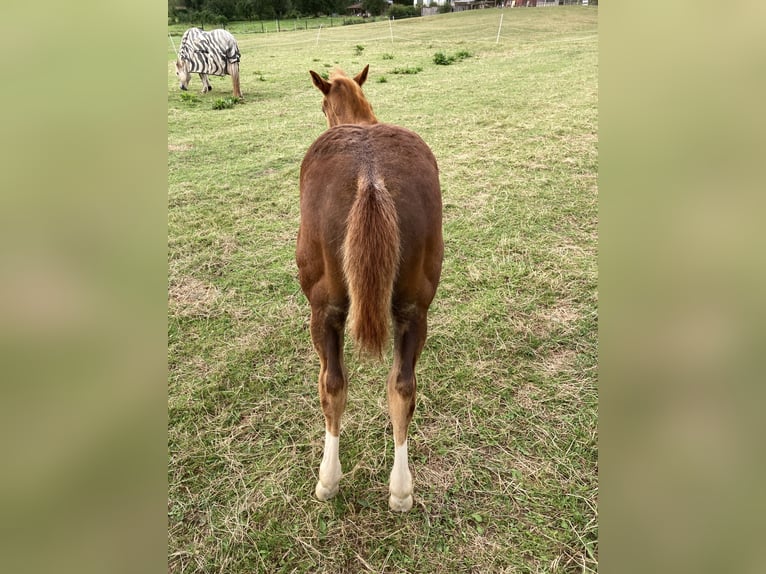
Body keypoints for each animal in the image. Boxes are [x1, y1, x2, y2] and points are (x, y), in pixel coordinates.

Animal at [298, 66, 448, 512]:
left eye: (321, 105)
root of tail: (370, 176)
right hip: (414, 307)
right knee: (403, 386)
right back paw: (401, 489)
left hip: (324, 308)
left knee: (332, 384)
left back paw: (328, 479)